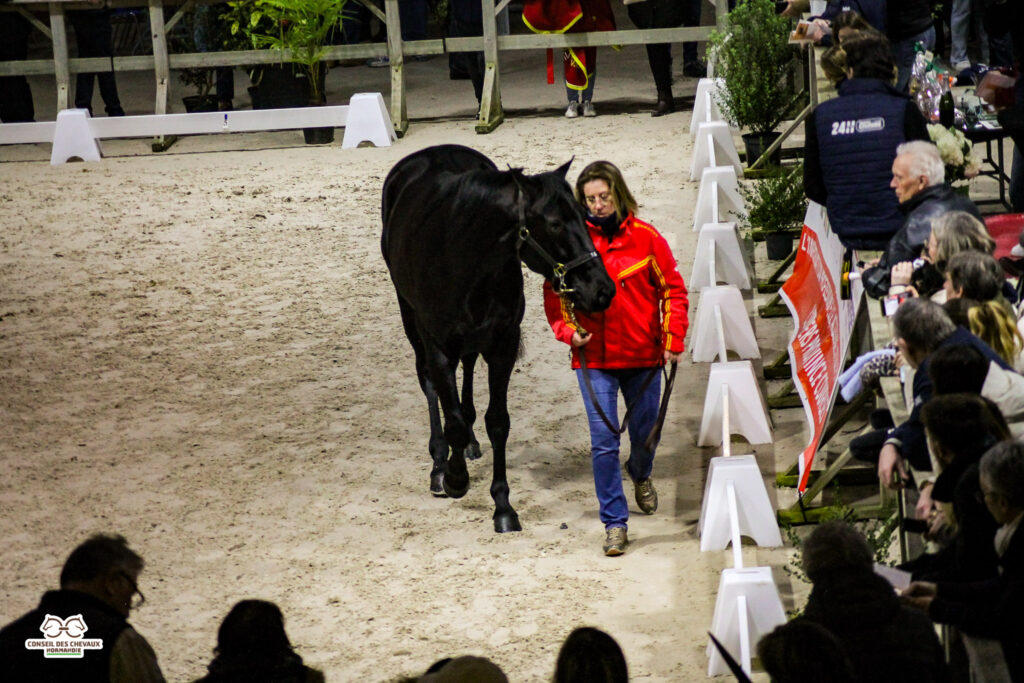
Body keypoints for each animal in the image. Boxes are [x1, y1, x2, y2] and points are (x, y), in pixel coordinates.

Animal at [381, 144, 616, 533]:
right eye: (554, 224)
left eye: (585, 218)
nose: (602, 290)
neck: (463, 258)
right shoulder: (438, 346)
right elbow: (452, 420)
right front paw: (455, 478)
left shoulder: (503, 344)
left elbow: (497, 422)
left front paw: (503, 506)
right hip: (411, 320)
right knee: (429, 384)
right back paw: (439, 463)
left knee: (466, 374)